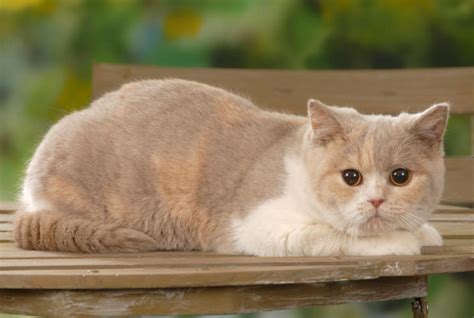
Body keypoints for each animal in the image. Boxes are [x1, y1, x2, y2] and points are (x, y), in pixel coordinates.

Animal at [12, 79, 446, 256]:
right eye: (350, 177)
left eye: (400, 177)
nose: (376, 201)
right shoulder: (261, 226)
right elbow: (335, 236)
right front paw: (401, 241)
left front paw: (422, 231)